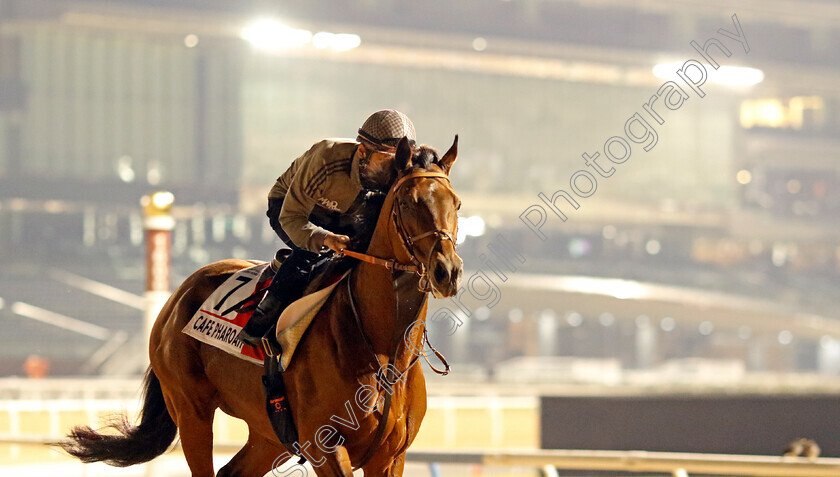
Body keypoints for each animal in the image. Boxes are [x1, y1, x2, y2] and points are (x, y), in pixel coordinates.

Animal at [57, 135, 466, 476]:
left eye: (457, 203)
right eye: (409, 201)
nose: (447, 271)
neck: (382, 350)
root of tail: (177, 297)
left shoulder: (390, 456)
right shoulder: (326, 447)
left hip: (269, 432)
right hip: (191, 412)